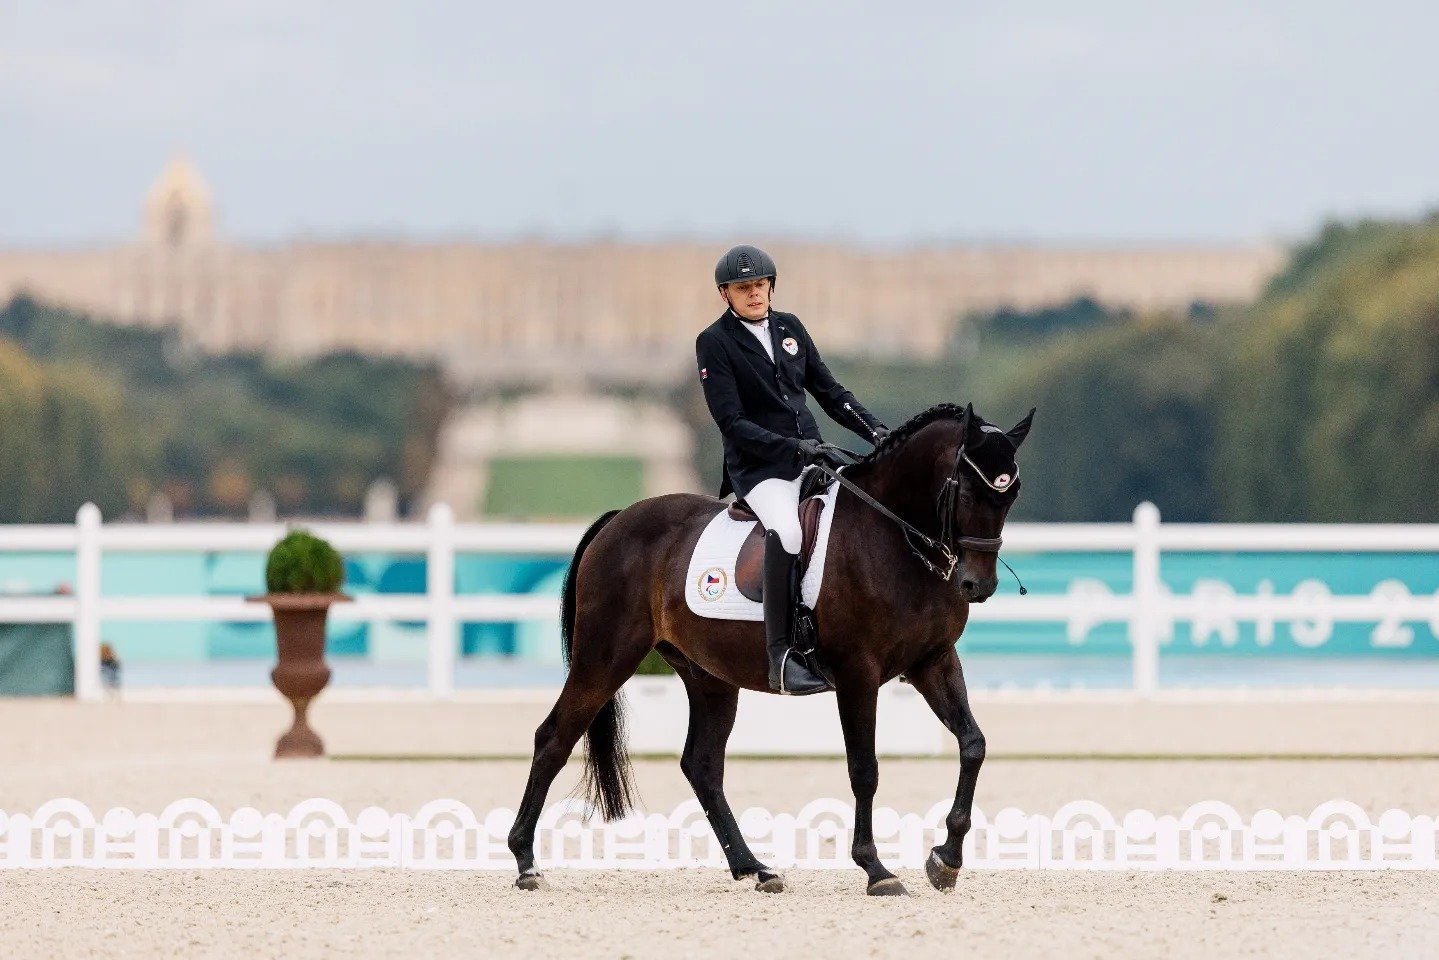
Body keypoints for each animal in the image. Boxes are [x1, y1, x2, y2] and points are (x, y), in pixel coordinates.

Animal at [512, 402, 1030, 898]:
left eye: (1011, 495)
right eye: (967, 493)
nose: (977, 585)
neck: (893, 539)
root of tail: (617, 519)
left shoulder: (933, 661)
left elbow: (973, 744)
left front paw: (946, 859)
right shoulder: (858, 673)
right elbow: (865, 769)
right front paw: (876, 870)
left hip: (708, 677)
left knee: (702, 765)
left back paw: (755, 868)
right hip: (605, 657)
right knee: (553, 738)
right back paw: (526, 863)